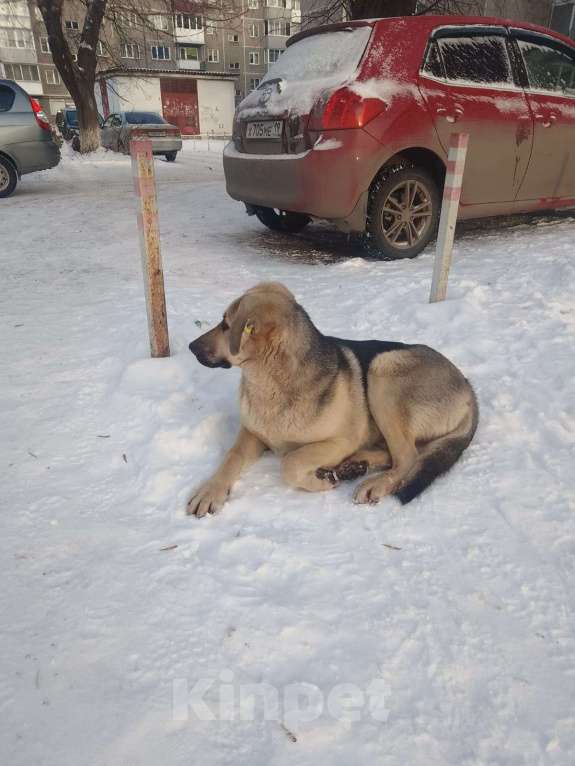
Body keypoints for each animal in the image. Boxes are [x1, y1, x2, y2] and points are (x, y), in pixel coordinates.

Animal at [187, 284, 480, 520]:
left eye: (225, 325)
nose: (191, 346)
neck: (271, 383)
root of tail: (469, 388)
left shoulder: (340, 440)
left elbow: (290, 462)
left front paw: (321, 482)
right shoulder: (252, 434)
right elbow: (231, 457)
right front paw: (210, 490)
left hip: (383, 370)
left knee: (408, 457)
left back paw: (374, 482)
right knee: (401, 452)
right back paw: (355, 464)